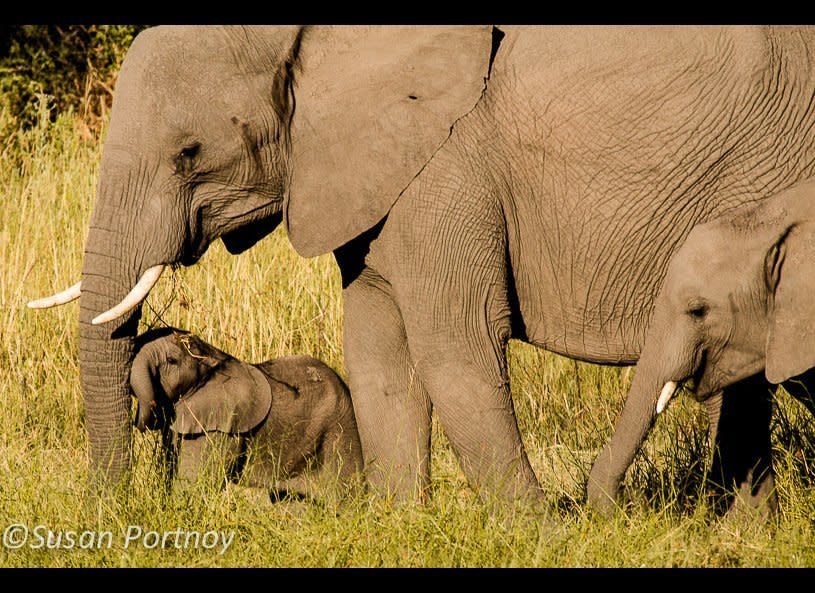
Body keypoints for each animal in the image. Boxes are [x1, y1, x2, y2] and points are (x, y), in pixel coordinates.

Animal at [128, 326, 364, 498]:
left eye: (171, 361)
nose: (137, 421)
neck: (213, 357)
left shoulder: (220, 428)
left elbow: (191, 485)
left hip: (339, 429)